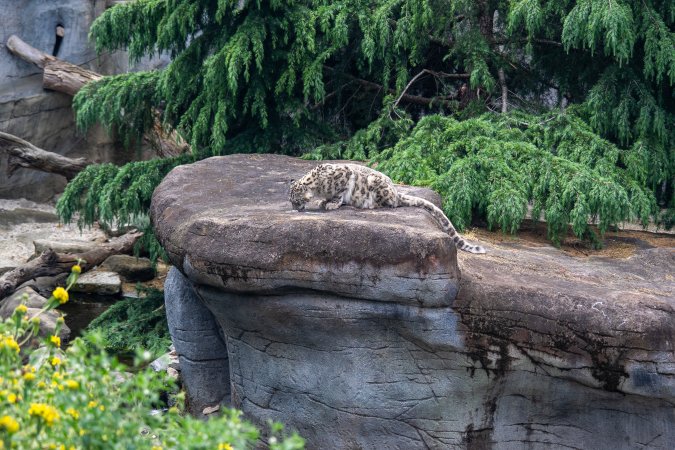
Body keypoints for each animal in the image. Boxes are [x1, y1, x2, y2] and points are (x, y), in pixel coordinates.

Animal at [289, 163, 486, 254]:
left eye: (295, 200)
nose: (295, 208)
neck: (318, 187)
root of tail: (396, 191)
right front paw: (323, 202)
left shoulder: (345, 175)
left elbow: (339, 193)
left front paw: (330, 203)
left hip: (377, 187)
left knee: (390, 203)